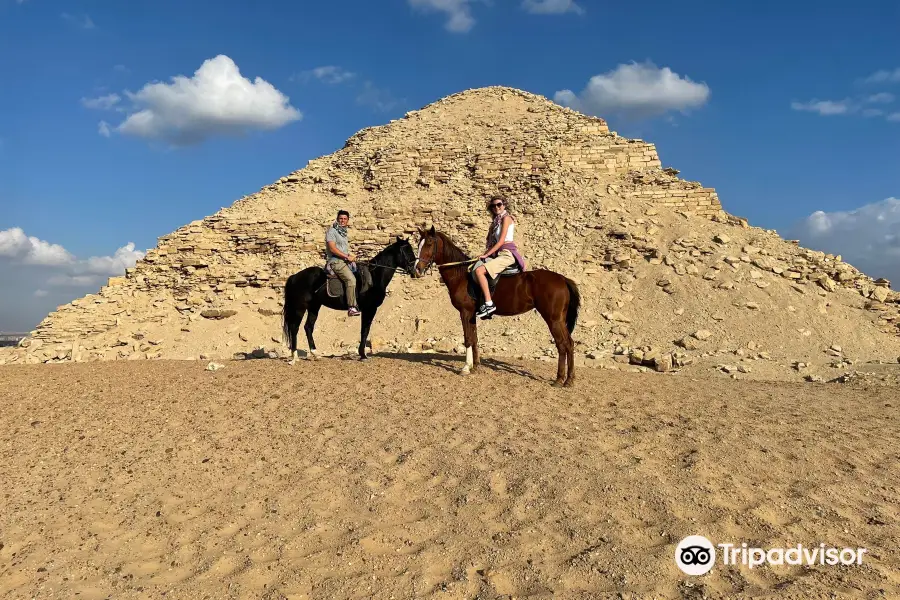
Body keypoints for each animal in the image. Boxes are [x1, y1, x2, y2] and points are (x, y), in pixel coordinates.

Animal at [414, 226, 580, 390]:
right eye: (419, 244)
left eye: (429, 243)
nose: (417, 269)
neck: (461, 276)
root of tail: (562, 279)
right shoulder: (472, 315)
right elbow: (474, 339)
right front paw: (476, 366)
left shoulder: (465, 313)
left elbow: (467, 339)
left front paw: (466, 368)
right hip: (559, 319)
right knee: (569, 344)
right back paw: (569, 380)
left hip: (553, 319)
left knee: (562, 344)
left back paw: (559, 379)